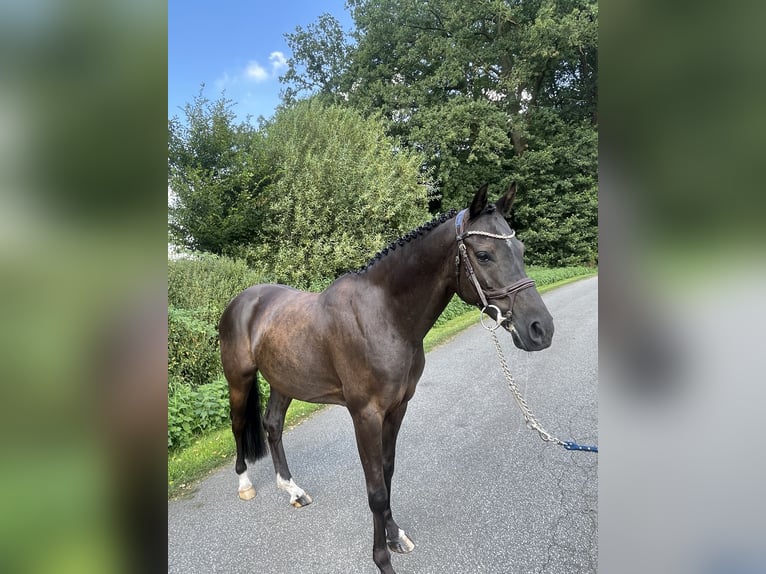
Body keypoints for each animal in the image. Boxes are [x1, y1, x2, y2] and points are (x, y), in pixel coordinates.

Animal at [219, 184, 556, 574]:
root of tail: (242, 300)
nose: (540, 329)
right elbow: (376, 490)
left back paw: (293, 490)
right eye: (484, 254)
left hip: (283, 382)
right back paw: (245, 484)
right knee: (239, 425)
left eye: (521, 250)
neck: (384, 316)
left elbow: (388, 471)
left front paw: (395, 535)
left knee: (272, 425)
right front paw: (383, 561)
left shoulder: (398, 407)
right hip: (239, 380)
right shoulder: (365, 415)